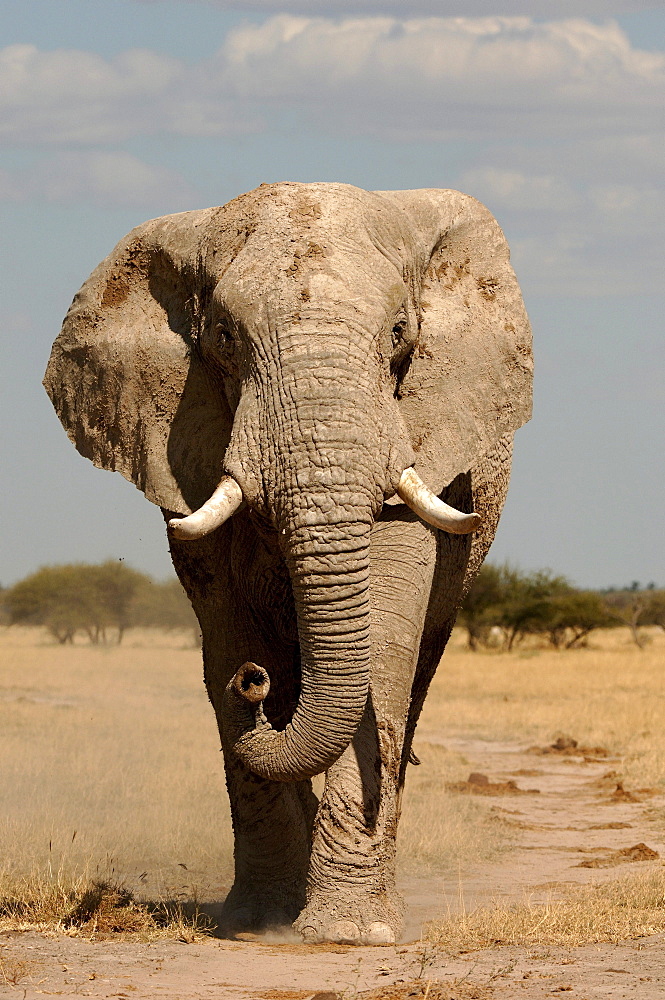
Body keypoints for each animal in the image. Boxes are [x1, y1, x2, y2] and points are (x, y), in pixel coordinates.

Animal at [44, 182, 532, 944]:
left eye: (400, 333)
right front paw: (260, 923)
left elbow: (383, 644)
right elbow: (226, 626)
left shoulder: (423, 439)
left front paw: (349, 933)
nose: (256, 683)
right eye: (222, 337)